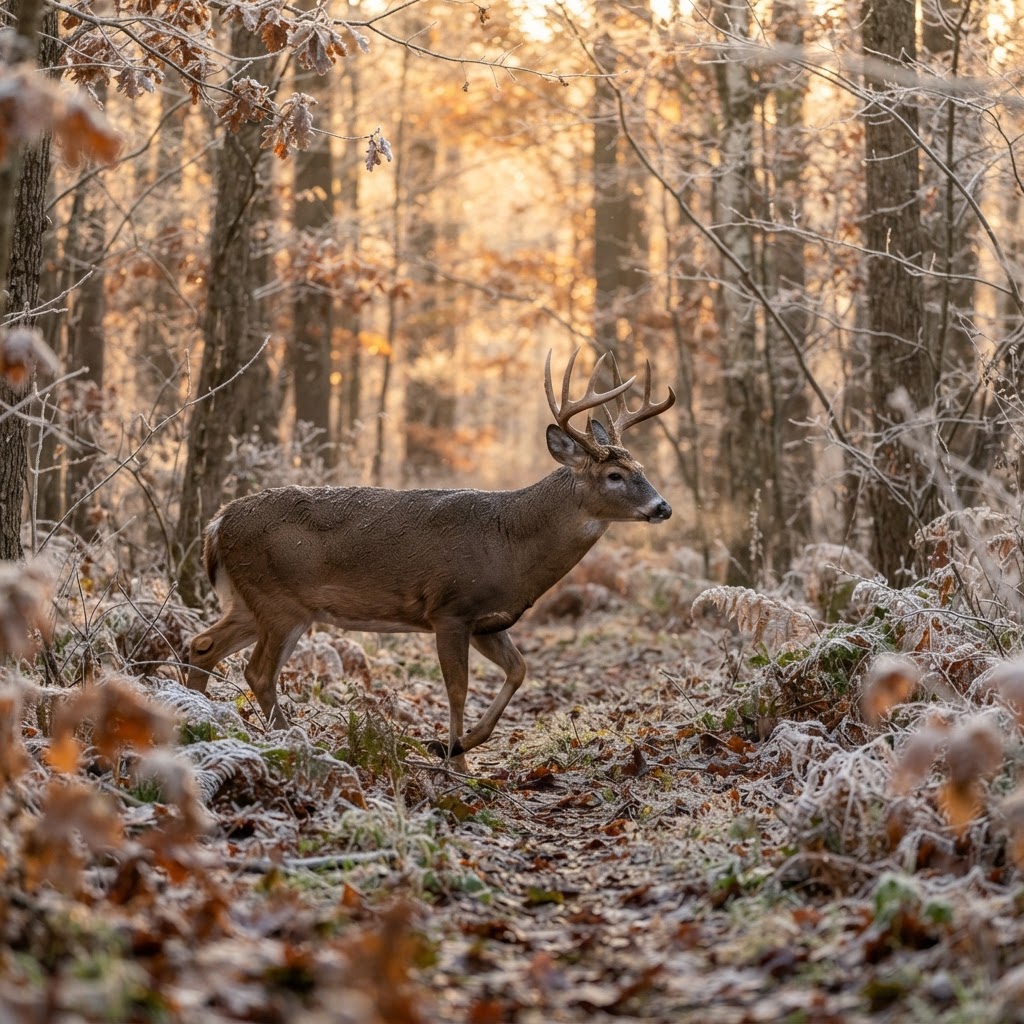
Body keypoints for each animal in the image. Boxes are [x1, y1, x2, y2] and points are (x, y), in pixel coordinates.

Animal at [185, 349, 675, 767]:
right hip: (278, 599)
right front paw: (455, 758)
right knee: (258, 672)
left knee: (202, 645)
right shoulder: (450, 608)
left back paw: (198, 718)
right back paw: (293, 740)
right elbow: (457, 689)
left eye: (642, 469)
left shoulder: (488, 620)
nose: (663, 508)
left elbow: (518, 670)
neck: (511, 543)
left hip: (253, 601)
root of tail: (217, 524)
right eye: (614, 475)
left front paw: (458, 746)